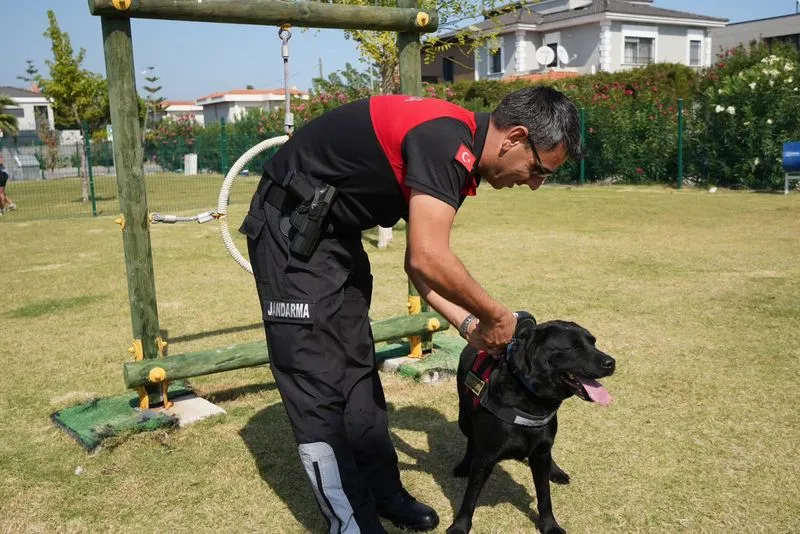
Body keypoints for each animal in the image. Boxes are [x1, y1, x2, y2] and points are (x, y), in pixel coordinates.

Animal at [446, 314, 616, 534]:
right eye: (574, 346)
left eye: (593, 342)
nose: (611, 363)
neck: (530, 401)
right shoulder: (486, 457)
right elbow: (470, 497)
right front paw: (459, 526)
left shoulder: (540, 452)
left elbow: (544, 495)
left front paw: (550, 525)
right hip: (464, 418)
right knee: (471, 440)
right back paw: (464, 465)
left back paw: (556, 471)